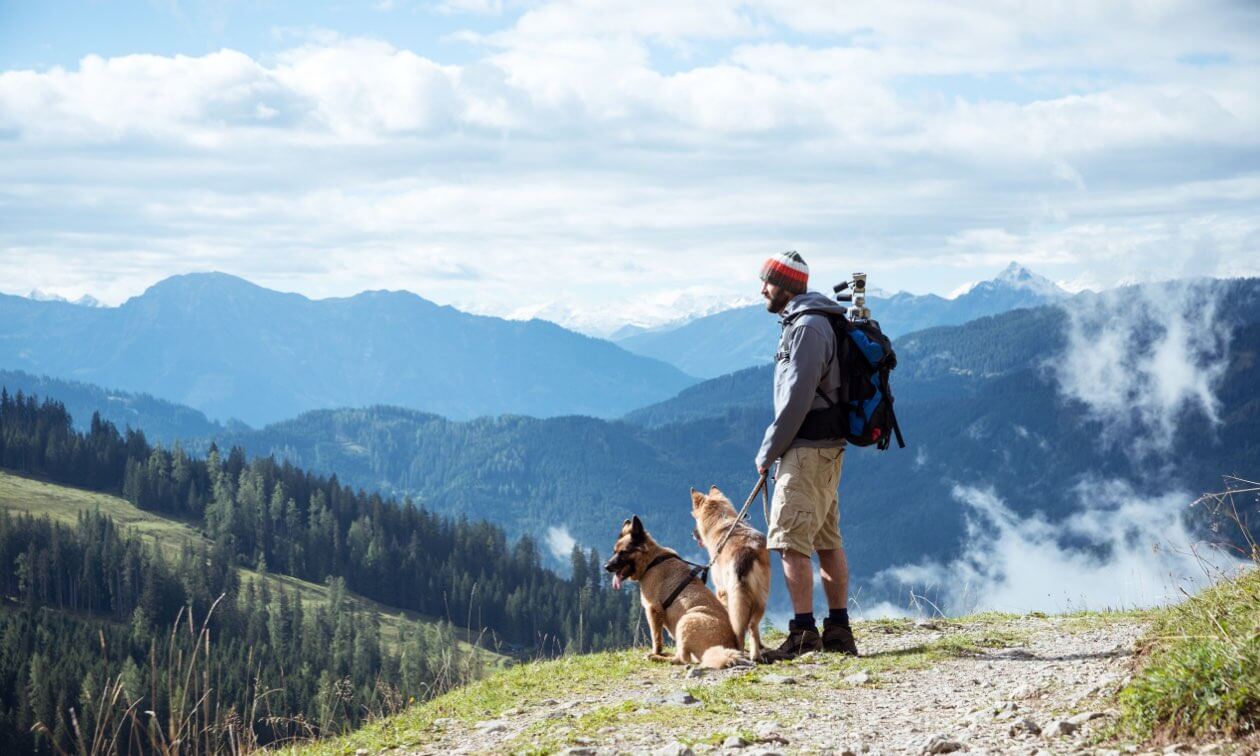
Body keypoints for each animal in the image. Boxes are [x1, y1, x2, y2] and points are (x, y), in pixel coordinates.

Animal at [607, 514, 750, 665]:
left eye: (623, 553)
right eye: (614, 552)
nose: (606, 566)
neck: (652, 560)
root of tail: (729, 647)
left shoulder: (653, 610)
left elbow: (656, 639)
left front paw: (655, 653)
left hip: (686, 620)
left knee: (682, 659)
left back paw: (657, 657)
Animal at [690, 486, 766, 660]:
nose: (692, 533)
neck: (722, 520)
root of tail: (745, 551)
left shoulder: (721, 590)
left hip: (734, 594)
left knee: (740, 626)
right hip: (761, 595)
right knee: (753, 625)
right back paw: (756, 655)